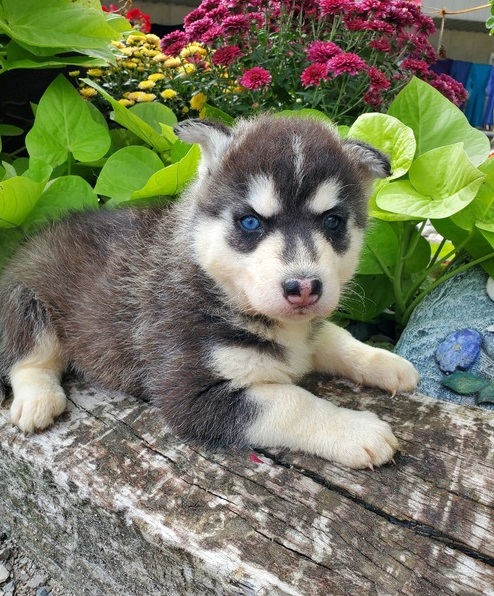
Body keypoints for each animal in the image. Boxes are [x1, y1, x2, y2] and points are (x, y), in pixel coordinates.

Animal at [0, 115, 418, 470]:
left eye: (332, 221)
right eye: (250, 222)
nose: (303, 288)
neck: (219, 290)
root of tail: (33, 238)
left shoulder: (309, 335)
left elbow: (336, 338)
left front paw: (385, 362)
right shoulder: (190, 392)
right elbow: (292, 402)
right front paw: (357, 430)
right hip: (26, 300)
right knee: (29, 358)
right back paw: (37, 402)